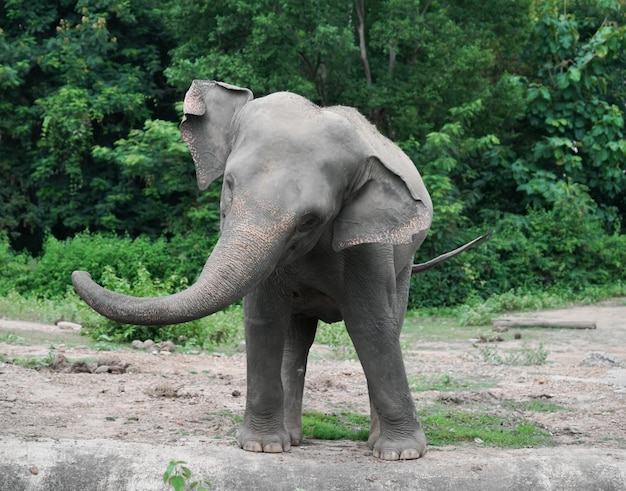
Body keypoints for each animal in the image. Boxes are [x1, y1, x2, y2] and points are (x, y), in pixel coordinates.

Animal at [73, 80, 488, 462]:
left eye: (310, 219)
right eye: (229, 185)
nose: (80, 272)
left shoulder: (369, 246)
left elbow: (370, 325)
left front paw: (401, 454)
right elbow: (263, 318)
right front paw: (262, 447)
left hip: (402, 265)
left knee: (391, 321)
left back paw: (371, 440)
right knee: (295, 340)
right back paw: (292, 438)